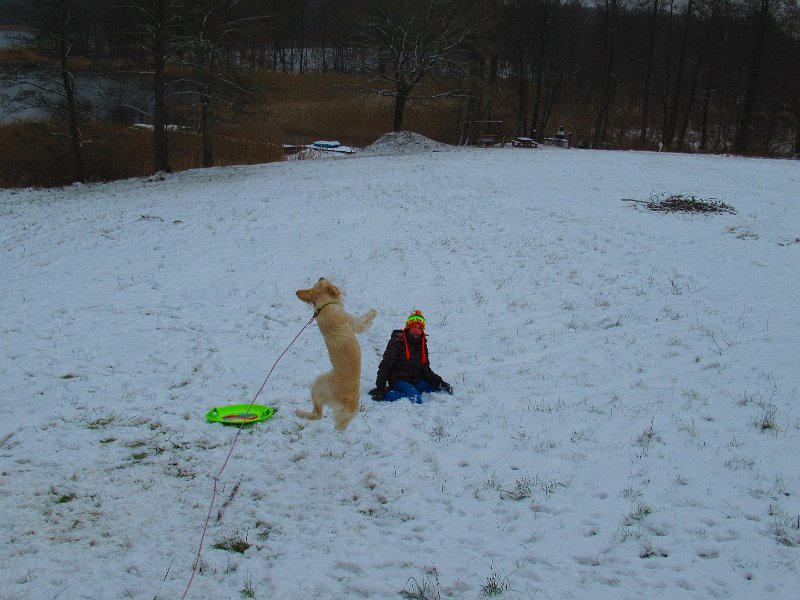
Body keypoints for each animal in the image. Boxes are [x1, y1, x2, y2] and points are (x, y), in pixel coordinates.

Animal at [295, 278, 377, 430]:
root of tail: (348, 402)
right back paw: (299, 413)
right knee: (318, 415)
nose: (321, 276)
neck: (324, 306)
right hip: (319, 384)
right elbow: (363, 321)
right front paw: (373, 311)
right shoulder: (353, 322)